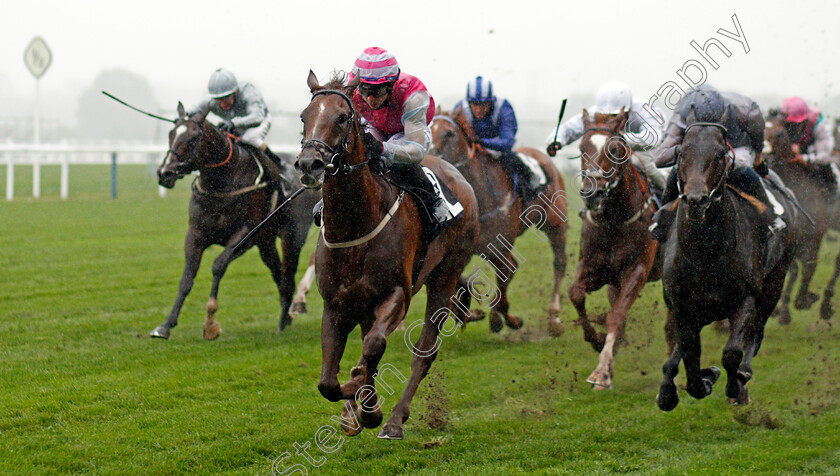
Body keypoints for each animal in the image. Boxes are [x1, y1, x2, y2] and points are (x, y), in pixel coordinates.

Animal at [151, 101, 318, 338]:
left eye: (193, 138)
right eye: (171, 134)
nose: (164, 173)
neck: (222, 183)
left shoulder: (245, 235)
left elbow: (218, 266)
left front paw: (210, 322)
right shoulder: (195, 234)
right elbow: (187, 278)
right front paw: (165, 325)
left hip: (292, 235)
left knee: (288, 276)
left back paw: (285, 317)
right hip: (266, 243)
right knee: (279, 274)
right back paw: (286, 317)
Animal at [296, 72, 480, 440]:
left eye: (342, 117)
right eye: (304, 117)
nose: (310, 164)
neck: (354, 227)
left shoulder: (397, 293)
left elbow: (373, 347)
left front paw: (368, 408)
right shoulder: (335, 304)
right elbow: (327, 381)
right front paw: (354, 402)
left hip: (445, 275)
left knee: (423, 352)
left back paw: (394, 420)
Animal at [430, 111, 568, 334]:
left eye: (449, 133)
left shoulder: (500, 245)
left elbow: (506, 276)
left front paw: (505, 318)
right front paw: (471, 312)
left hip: (555, 222)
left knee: (559, 262)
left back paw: (554, 318)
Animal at [652, 113, 796, 410]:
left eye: (720, 154)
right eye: (682, 153)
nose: (696, 201)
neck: (705, 253)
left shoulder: (745, 298)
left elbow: (731, 353)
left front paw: (733, 382)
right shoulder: (684, 307)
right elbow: (690, 358)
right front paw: (695, 381)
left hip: (775, 281)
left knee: (756, 332)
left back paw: (744, 374)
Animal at [764, 114, 840, 324]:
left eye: (779, 133)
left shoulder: (814, 237)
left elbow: (807, 269)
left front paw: (806, 299)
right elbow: (793, 271)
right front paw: (783, 311)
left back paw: (826, 306)